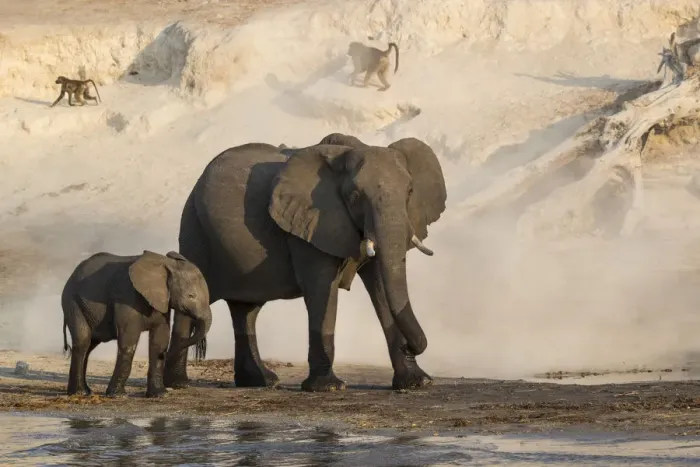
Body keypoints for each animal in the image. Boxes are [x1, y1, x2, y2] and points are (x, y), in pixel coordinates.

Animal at [61, 250, 213, 398]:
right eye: (191, 296)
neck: (166, 264)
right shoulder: (127, 297)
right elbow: (129, 341)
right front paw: (118, 395)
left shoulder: (162, 301)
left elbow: (160, 340)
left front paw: (160, 394)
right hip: (73, 303)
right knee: (83, 343)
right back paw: (79, 393)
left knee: (90, 346)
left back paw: (86, 391)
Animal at [164, 133, 447, 392]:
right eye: (354, 196)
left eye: (410, 192)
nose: (409, 346)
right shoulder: (309, 225)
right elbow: (322, 289)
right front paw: (328, 387)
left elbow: (380, 284)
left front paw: (417, 383)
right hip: (194, 229)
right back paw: (178, 384)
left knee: (246, 310)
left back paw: (260, 382)